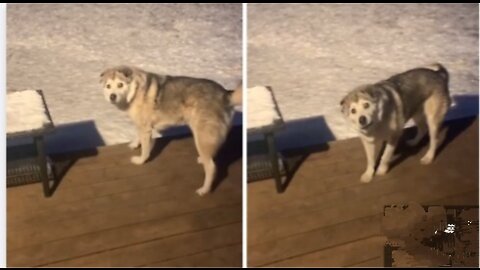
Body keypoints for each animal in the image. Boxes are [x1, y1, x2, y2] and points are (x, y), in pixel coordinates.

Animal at [100, 66, 242, 195]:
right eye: (108, 86)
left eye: (120, 84)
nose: (112, 96)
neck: (135, 90)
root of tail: (225, 94)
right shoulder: (141, 124)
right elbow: (137, 135)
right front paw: (134, 144)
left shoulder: (146, 128)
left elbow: (145, 151)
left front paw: (140, 161)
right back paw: (203, 159)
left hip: (201, 136)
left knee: (211, 167)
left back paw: (204, 190)